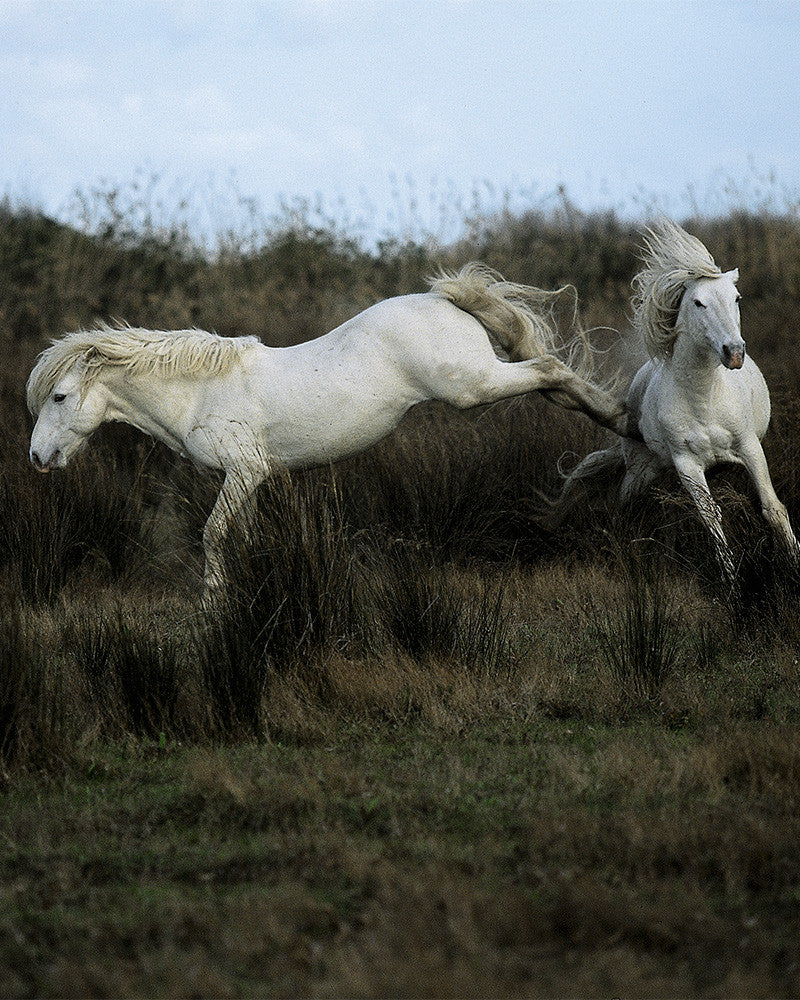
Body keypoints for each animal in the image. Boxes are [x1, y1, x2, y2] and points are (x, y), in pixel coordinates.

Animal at [27, 262, 633, 600]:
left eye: (59, 397)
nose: (36, 457)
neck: (200, 390)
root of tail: (441, 299)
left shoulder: (244, 470)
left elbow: (214, 536)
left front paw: (212, 609)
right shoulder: (250, 480)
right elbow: (242, 539)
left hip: (473, 385)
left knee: (551, 369)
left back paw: (621, 421)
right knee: (553, 377)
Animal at [547, 220, 800, 581]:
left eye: (737, 298)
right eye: (698, 303)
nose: (734, 353)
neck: (703, 399)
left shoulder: (750, 449)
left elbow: (772, 508)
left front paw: (792, 562)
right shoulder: (687, 464)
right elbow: (711, 519)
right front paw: (731, 581)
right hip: (643, 469)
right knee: (625, 504)